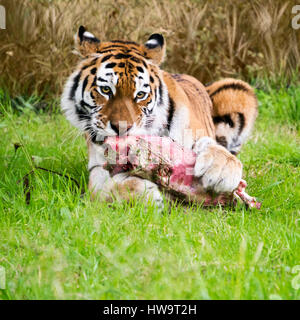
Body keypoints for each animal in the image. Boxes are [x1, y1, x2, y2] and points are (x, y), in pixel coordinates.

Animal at [61, 26, 258, 209]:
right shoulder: (96, 167)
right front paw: (144, 193)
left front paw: (222, 170)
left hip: (237, 88)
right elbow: (102, 189)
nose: (122, 128)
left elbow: (212, 146)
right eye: (106, 90)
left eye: (140, 94)